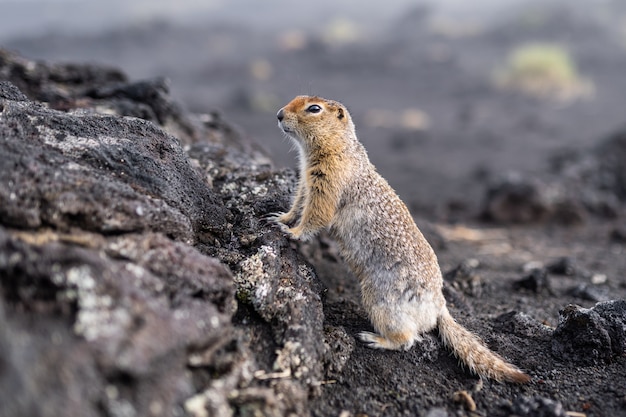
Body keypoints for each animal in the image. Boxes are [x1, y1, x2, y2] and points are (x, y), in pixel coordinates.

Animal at [270, 95, 528, 384]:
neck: (338, 147)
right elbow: (299, 203)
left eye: (314, 108)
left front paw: (292, 232)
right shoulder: (306, 181)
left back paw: (374, 339)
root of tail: (439, 306)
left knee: (408, 339)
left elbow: (316, 213)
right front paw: (281, 217)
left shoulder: (328, 179)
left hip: (382, 302)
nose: (279, 114)